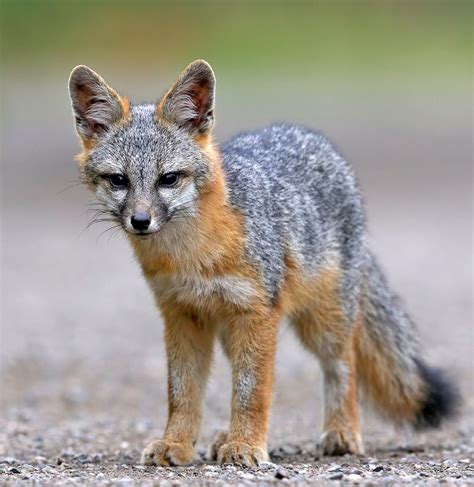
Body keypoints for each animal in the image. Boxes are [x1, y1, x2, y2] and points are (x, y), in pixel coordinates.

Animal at [68, 59, 462, 468]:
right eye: (119, 180)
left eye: (169, 179)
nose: (141, 221)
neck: (193, 257)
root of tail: (307, 135)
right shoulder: (181, 315)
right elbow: (182, 393)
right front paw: (177, 443)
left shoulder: (256, 313)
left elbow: (251, 391)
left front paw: (245, 446)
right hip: (232, 331)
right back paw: (222, 437)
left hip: (322, 323)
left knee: (344, 365)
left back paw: (342, 433)